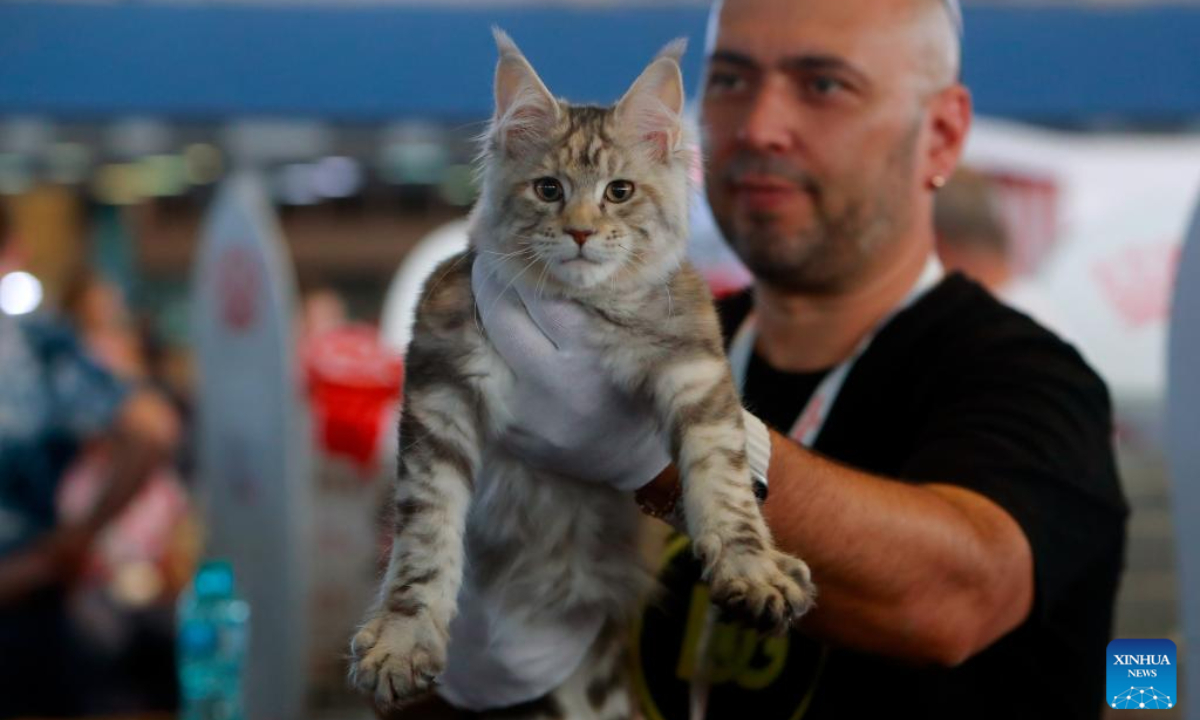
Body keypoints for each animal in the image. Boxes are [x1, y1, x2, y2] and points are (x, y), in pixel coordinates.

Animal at [348, 30, 816, 715]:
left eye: (619, 191)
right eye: (548, 189)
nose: (580, 233)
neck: (584, 312)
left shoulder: (695, 366)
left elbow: (725, 483)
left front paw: (752, 570)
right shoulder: (441, 382)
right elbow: (424, 534)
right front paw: (404, 640)